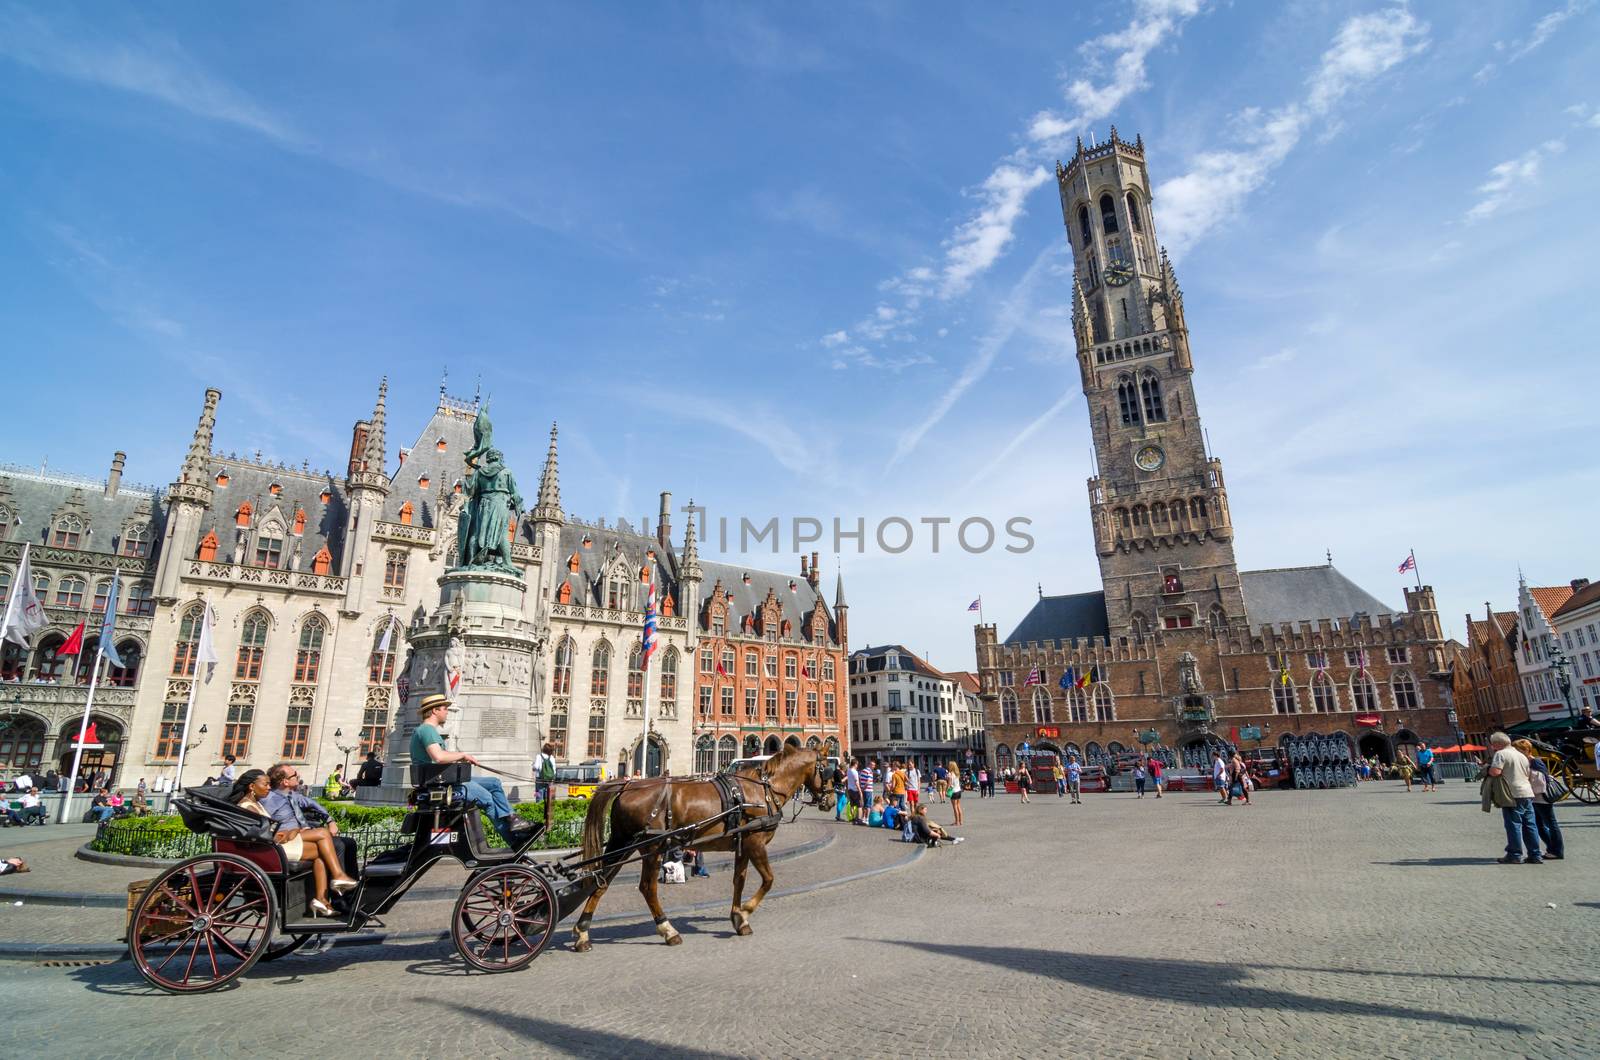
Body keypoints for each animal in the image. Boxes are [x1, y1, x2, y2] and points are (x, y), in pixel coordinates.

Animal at [572, 742, 832, 947]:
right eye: (829, 771)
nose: (830, 799)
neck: (764, 789)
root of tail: (627, 785)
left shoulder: (742, 844)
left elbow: (739, 880)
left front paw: (739, 919)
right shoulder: (755, 843)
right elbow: (768, 880)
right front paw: (745, 912)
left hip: (622, 843)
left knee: (601, 881)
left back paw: (582, 933)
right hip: (651, 848)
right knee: (647, 887)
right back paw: (668, 931)